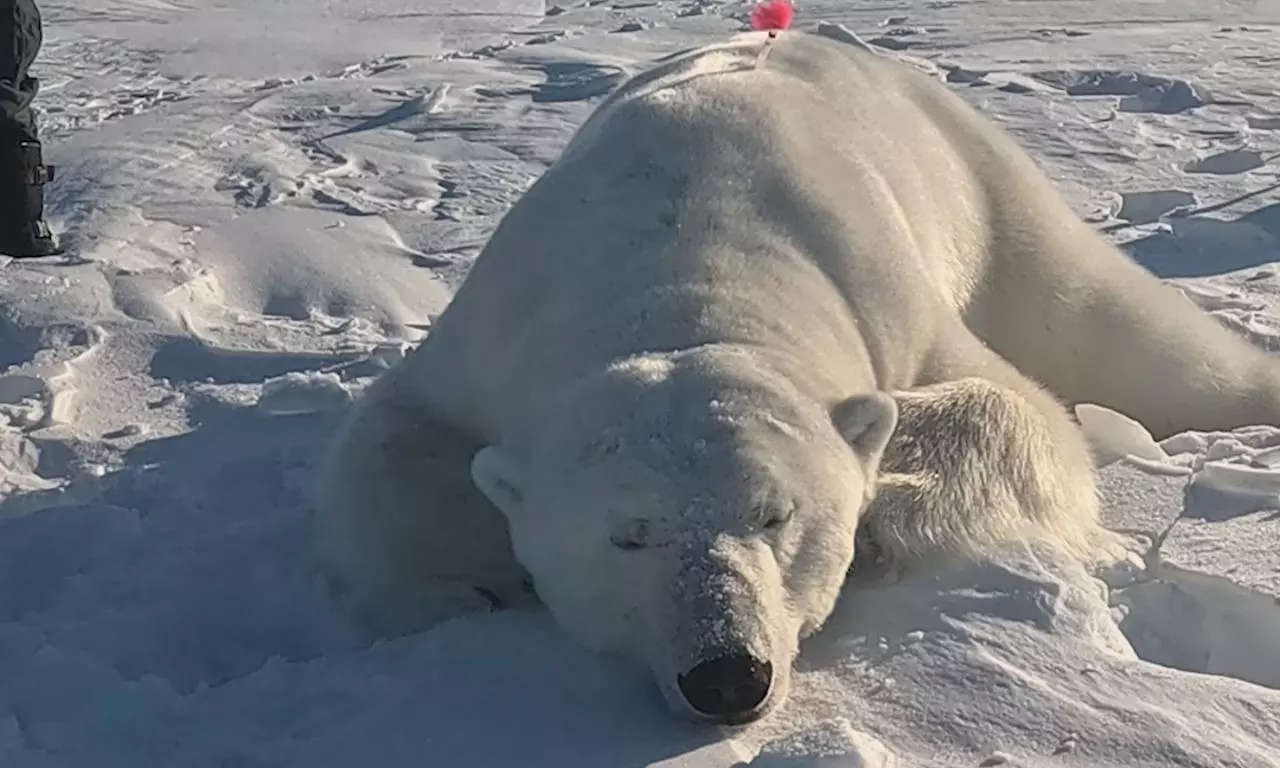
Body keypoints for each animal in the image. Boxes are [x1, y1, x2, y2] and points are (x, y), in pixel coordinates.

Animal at [314, 29, 1280, 726]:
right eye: (629, 535)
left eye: (776, 516)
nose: (725, 675)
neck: (684, 263)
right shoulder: (496, 329)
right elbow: (391, 435)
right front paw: (457, 587)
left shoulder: (881, 291)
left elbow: (1018, 406)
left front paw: (895, 505)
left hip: (988, 192)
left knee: (1117, 332)